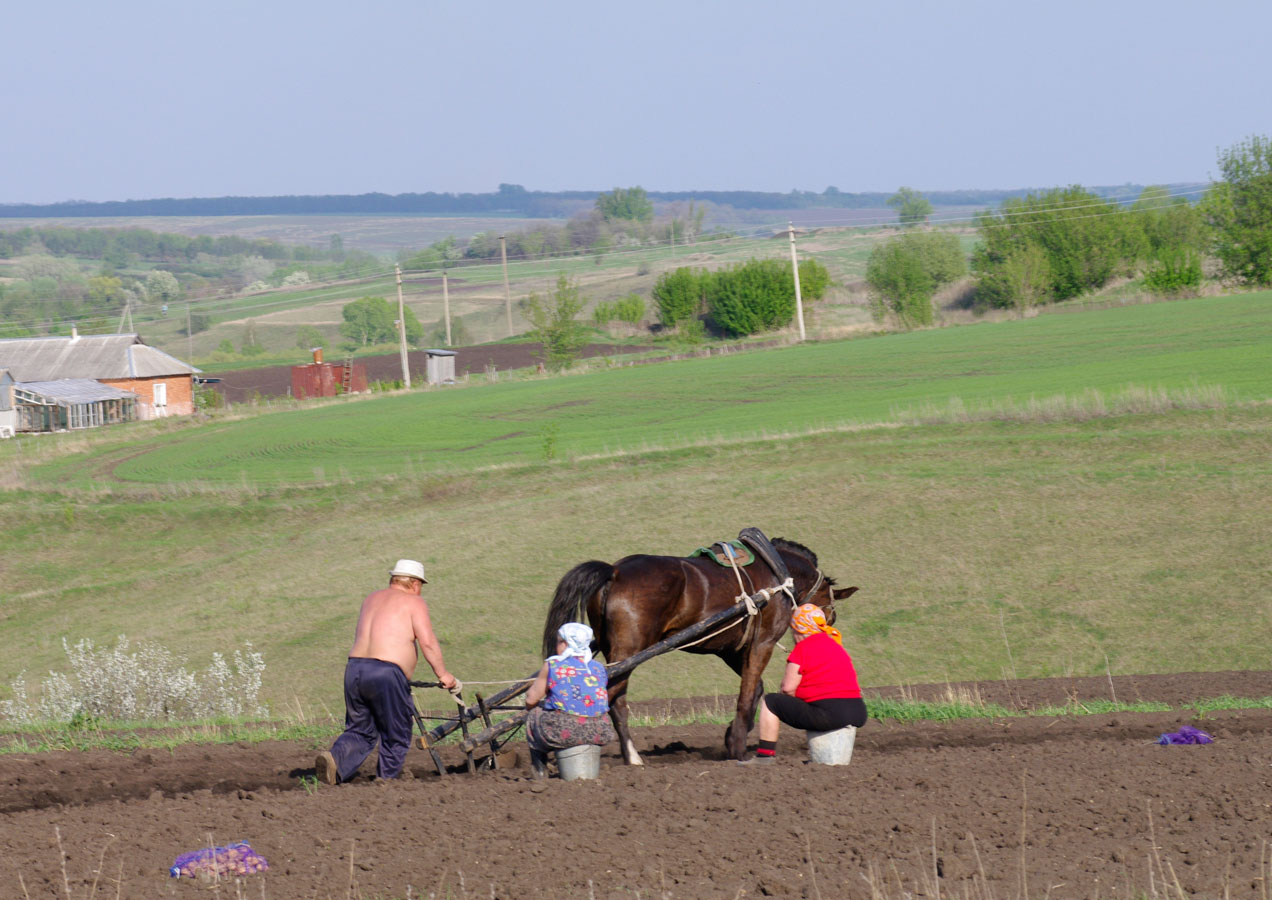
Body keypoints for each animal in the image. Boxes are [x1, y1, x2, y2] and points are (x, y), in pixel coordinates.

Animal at [536, 538, 854, 762]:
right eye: (830, 610)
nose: (828, 626)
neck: (777, 575)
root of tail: (614, 571)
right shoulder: (761, 643)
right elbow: (747, 693)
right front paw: (738, 748)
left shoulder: (730, 650)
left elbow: (756, 689)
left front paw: (732, 734)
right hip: (628, 652)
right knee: (612, 698)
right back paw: (626, 755)